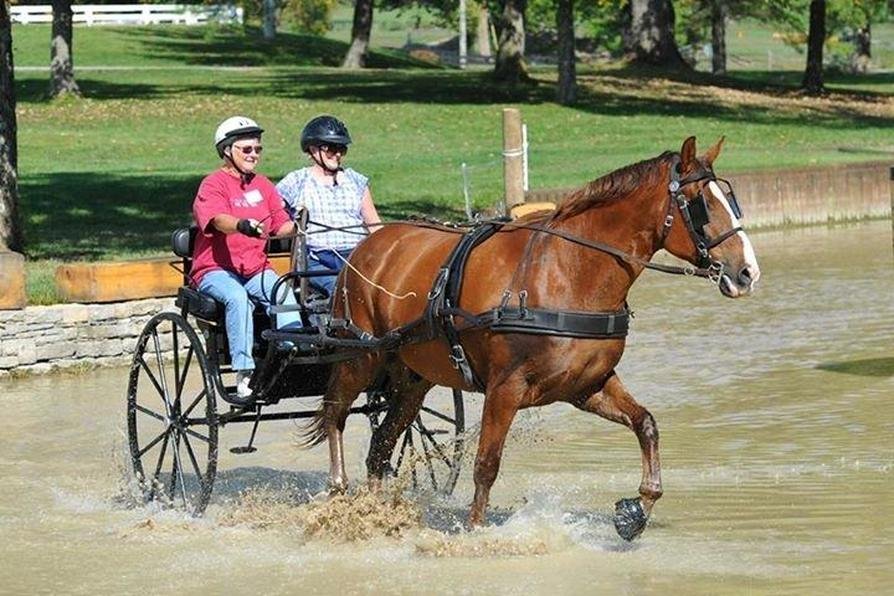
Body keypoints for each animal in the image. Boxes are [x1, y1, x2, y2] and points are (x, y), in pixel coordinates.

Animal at [307, 136, 761, 540]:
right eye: (702, 204)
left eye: (730, 199)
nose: (747, 272)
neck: (569, 271)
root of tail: (368, 247)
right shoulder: (504, 389)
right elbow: (486, 464)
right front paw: (475, 533)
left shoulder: (587, 385)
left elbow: (646, 424)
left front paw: (636, 510)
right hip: (359, 358)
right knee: (335, 415)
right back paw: (338, 492)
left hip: (412, 377)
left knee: (381, 445)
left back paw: (373, 512)